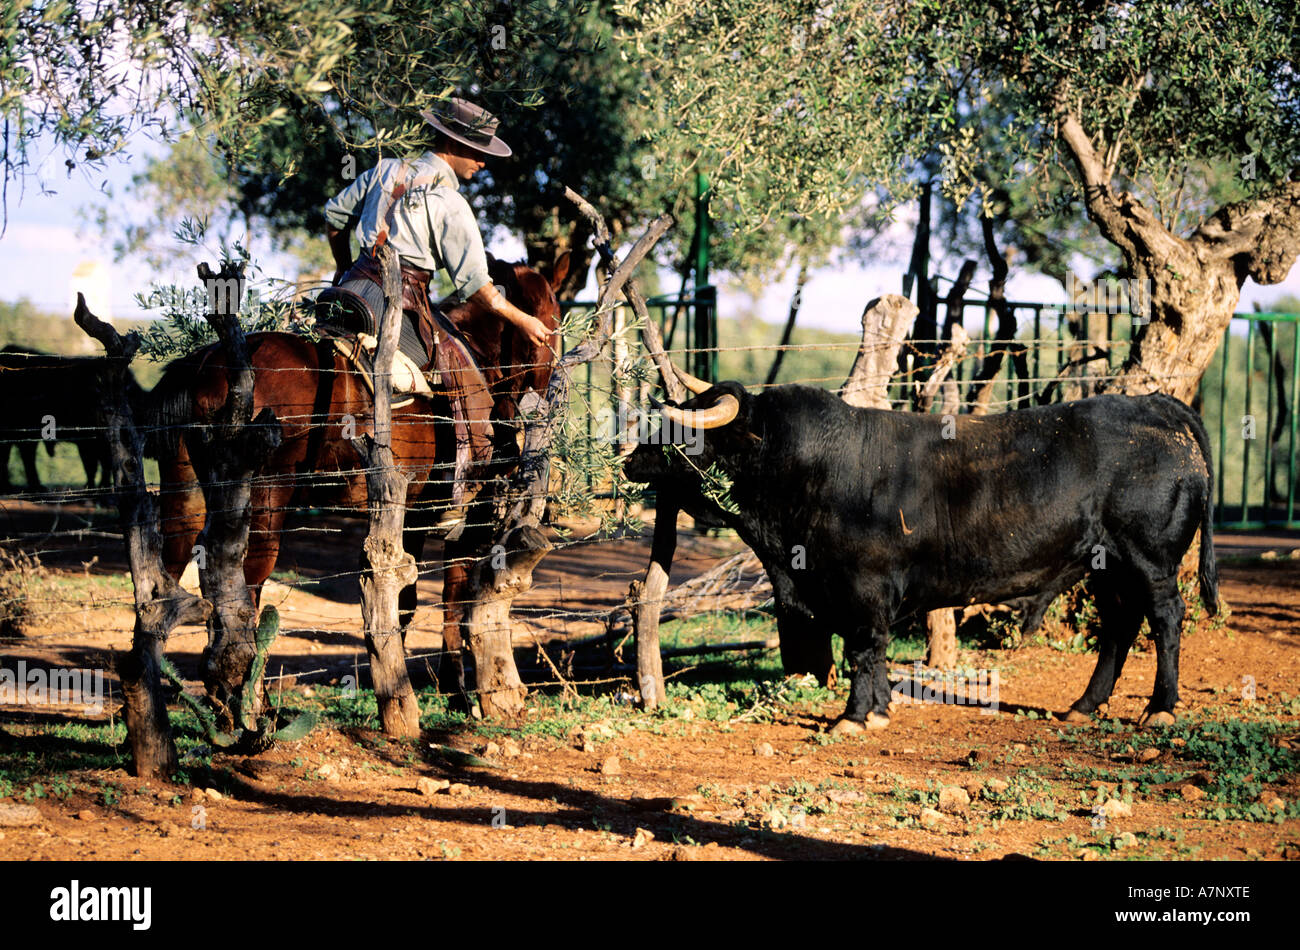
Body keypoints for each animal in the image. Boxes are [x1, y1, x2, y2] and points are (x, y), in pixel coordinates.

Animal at [624, 375, 1219, 732]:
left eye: (683, 433)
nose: (629, 458)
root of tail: (1152, 403)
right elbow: (873, 652)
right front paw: (879, 710)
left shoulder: (863, 587)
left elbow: (864, 649)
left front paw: (855, 716)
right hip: (1106, 566)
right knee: (1120, 624)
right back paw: (1083, 706)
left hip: (1150, 559)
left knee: (1165, 618)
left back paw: (1160, 709)